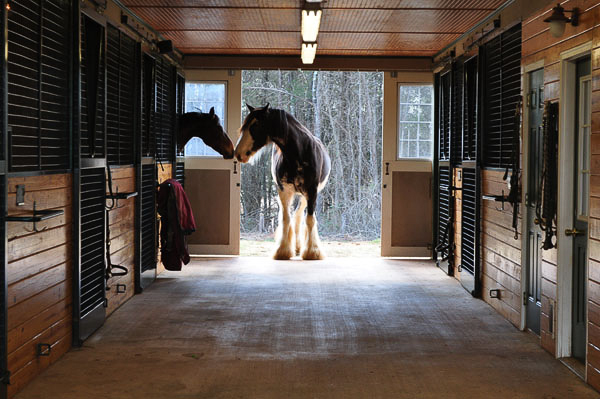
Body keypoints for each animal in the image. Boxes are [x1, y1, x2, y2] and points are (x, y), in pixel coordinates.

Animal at [234, 103, 330, 260]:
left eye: (255, 125)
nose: (238, 153)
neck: (298, 154)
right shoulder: (284, 191)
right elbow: (286, 219)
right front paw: (283, 250)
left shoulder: (312, 191)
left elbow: (310, 220)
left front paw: (312, 252)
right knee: (295, 216)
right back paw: (296, 247)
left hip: (305, 195)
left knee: (300, 215)